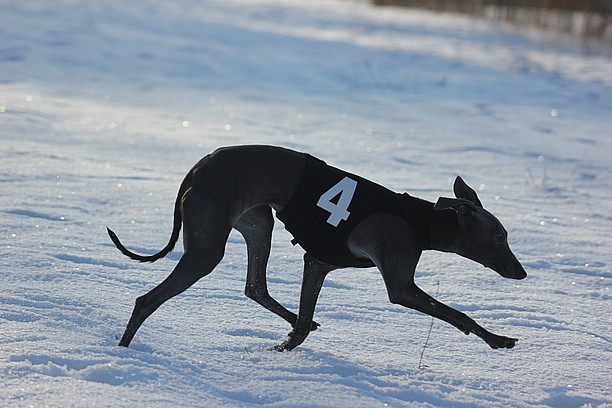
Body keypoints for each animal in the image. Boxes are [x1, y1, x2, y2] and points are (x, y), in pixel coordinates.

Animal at [109, 146, 524, 350]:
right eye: (500, 236)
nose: (521, 273)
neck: (420, 220)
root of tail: (197, 168)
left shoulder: (319, 262)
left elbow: (303, 323)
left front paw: (286, 345)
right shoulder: (401, 286)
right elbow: (458, 315)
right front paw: (498, 340)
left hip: (259, 225)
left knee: (255, 287)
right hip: (207, 249)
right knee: (146, 300)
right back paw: (123, 351)